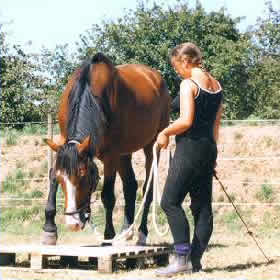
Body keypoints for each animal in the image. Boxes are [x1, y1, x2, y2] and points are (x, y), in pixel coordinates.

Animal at [40, 52, 170, 245]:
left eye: (82, 175)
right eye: (62, 178)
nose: (73, 224)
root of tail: (156, 77)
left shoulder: (111, 156)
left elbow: (108, 196)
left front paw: (108, 236)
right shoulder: (63, 143)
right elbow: (51, 175)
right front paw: (49, 230)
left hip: (152, 146)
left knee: (148, 189)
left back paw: (141, 234)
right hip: (124, 153)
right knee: (130, 185)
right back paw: (126, 231)